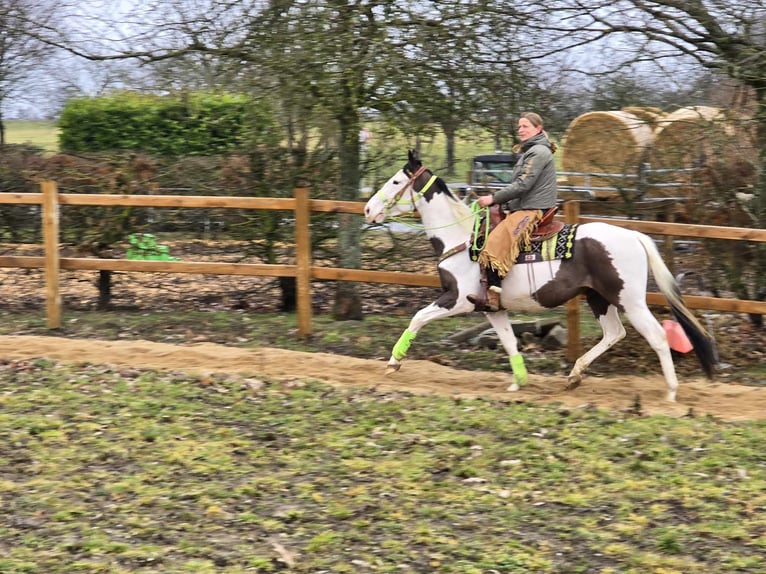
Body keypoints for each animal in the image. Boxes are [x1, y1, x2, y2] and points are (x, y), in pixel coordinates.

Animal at [364, 150, 716, 400]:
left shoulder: (457, 299)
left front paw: (394, 362)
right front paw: (518, 382)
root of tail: (635, 236)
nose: (368, 210)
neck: (462, 238)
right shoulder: (492, 309)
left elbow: (418, 317)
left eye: (395, 182)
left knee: (656, 336)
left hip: (628, 299)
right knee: (614, 333)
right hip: (599, 298)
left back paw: (670, 392)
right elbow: (509, 341)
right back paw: (574, 375)